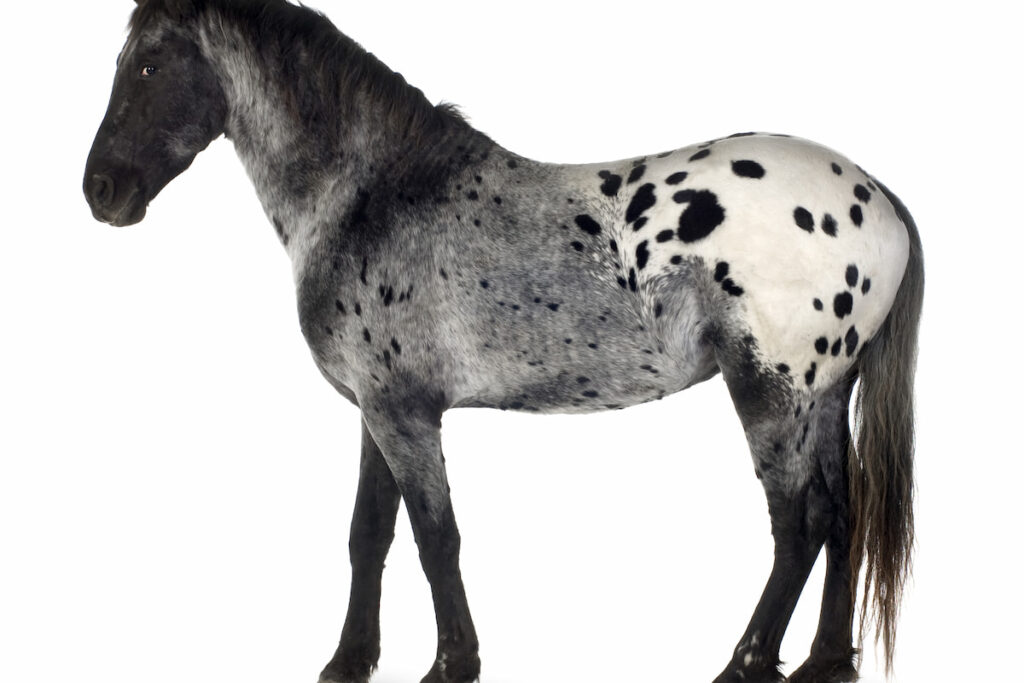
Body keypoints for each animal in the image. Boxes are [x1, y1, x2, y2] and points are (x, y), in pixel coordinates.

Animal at [83, 1, 925, 683]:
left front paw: (451, 665)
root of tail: (878, 196)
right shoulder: (376, 410)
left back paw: (743, 666)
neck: (375, 195)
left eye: (149, 62)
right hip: (826, 396)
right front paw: (349, 661)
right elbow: (369, 533)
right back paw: (824, 662)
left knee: (800, 523)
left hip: (772, 393)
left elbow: (435, 537)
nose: (101, 191)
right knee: (843, 514)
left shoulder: (404, 415)